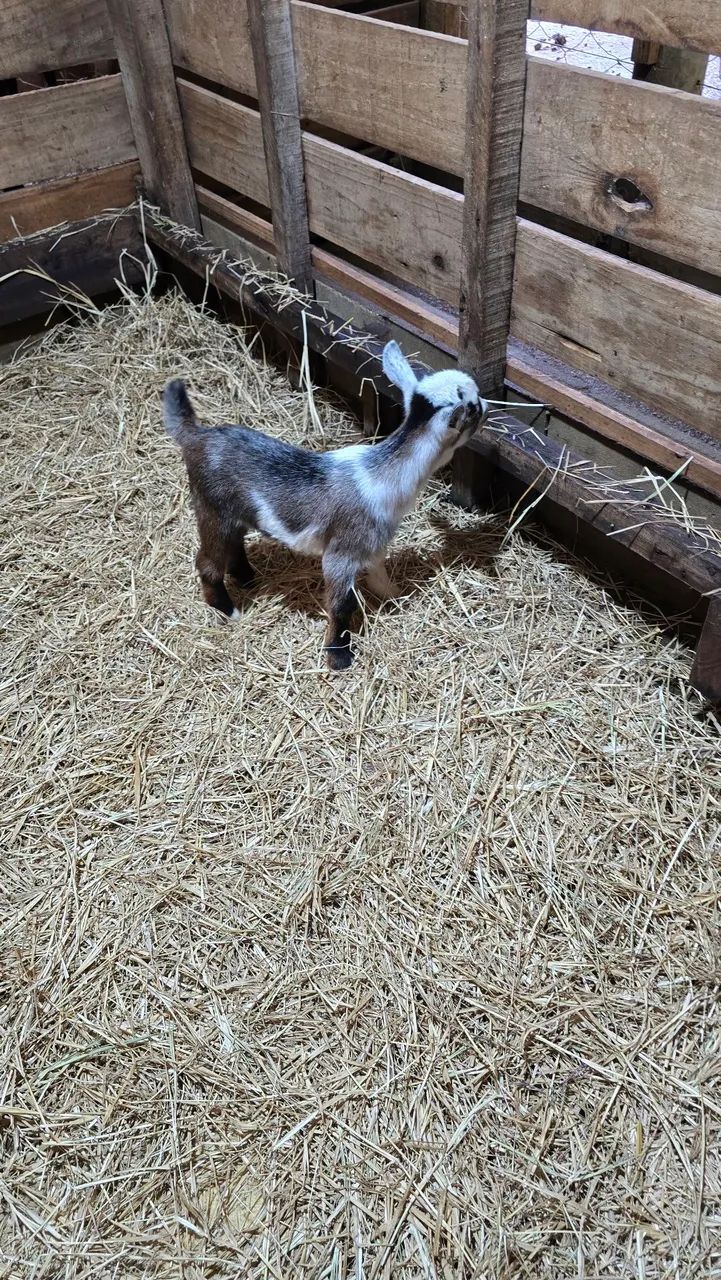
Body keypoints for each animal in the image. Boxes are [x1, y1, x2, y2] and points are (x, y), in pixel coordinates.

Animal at [162, 340, 487, 670]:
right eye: (472, 406)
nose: (486, 404)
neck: (383, 474)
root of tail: (195, 436)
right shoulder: (342, 552)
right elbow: (342, 604)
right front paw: (339, 656)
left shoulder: (373, 544)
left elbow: (379, 575)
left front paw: (395, 596)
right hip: (211, 509)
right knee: (207, 562)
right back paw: (228, 610)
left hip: (234, 513)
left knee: (234, 544)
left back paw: (247, 578)